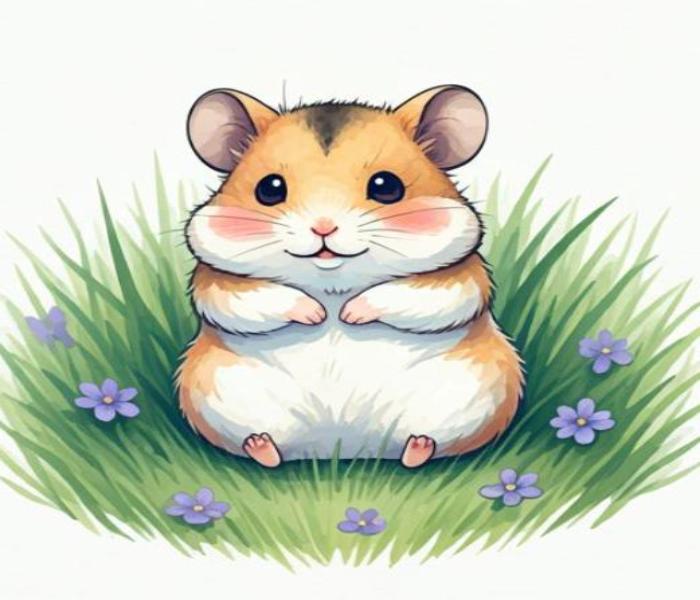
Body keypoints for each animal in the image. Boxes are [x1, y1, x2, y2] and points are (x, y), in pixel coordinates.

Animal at [177, 85, 524, 469]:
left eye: (387, 186)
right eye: (270, 189)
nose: (323, 227)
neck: (332, 284)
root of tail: (342, 448)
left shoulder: (461, 275)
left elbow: (419, 295)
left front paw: (348, 314)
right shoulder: (216, 279)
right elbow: (249, 297)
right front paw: (317, 314)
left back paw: (417, 449)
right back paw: (262, 447)